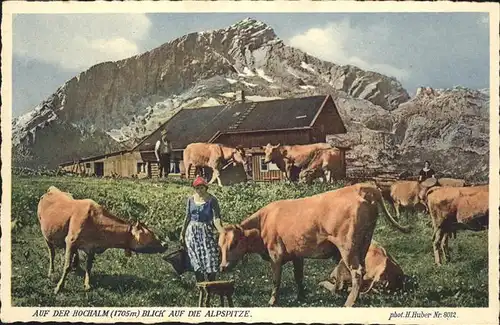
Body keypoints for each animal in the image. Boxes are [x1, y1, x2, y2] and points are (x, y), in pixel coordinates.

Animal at [38, 185, 168, 294]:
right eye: (151, 234)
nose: (165, 244)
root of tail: (52, 189)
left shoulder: (91, 247)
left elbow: (88, 266)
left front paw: (87, 284)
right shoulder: (70, 240)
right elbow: (67, 266)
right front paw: (59, 287)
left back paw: (75, 264)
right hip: (46, 235)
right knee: (52, 253)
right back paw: (51, 272)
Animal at [217, 182, 408, 306]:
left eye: (234, 243)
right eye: (220, 246)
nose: (223, 267)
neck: (265, 222)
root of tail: (357, 188)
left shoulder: (275, 255)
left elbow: (276, 280)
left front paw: (272, 301)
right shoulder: (297, 254)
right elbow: (298, 277)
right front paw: (301, 297)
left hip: (347, 248)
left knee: (357, 273)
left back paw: (349, 303)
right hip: (363, 244)